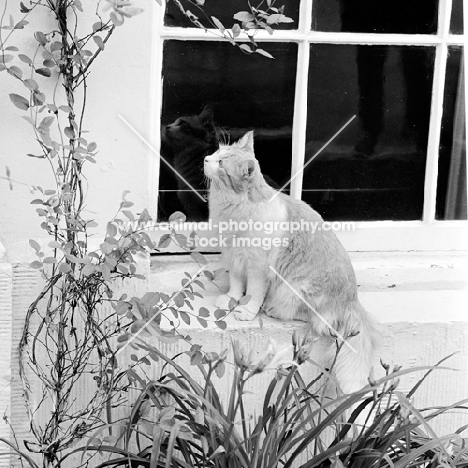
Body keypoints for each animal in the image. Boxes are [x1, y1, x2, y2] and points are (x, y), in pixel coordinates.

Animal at [203, 132, 378, 394]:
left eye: (222, 163)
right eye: (216, 153)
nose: (206, 158)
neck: (232, 211)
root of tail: (352, 300)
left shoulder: (257, 267)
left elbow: (253, 292)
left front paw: (246, 310)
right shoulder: (235, 258)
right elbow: (236, 285)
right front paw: (232, 300)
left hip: (296, 288)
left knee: (317, 321)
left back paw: (272, 309)